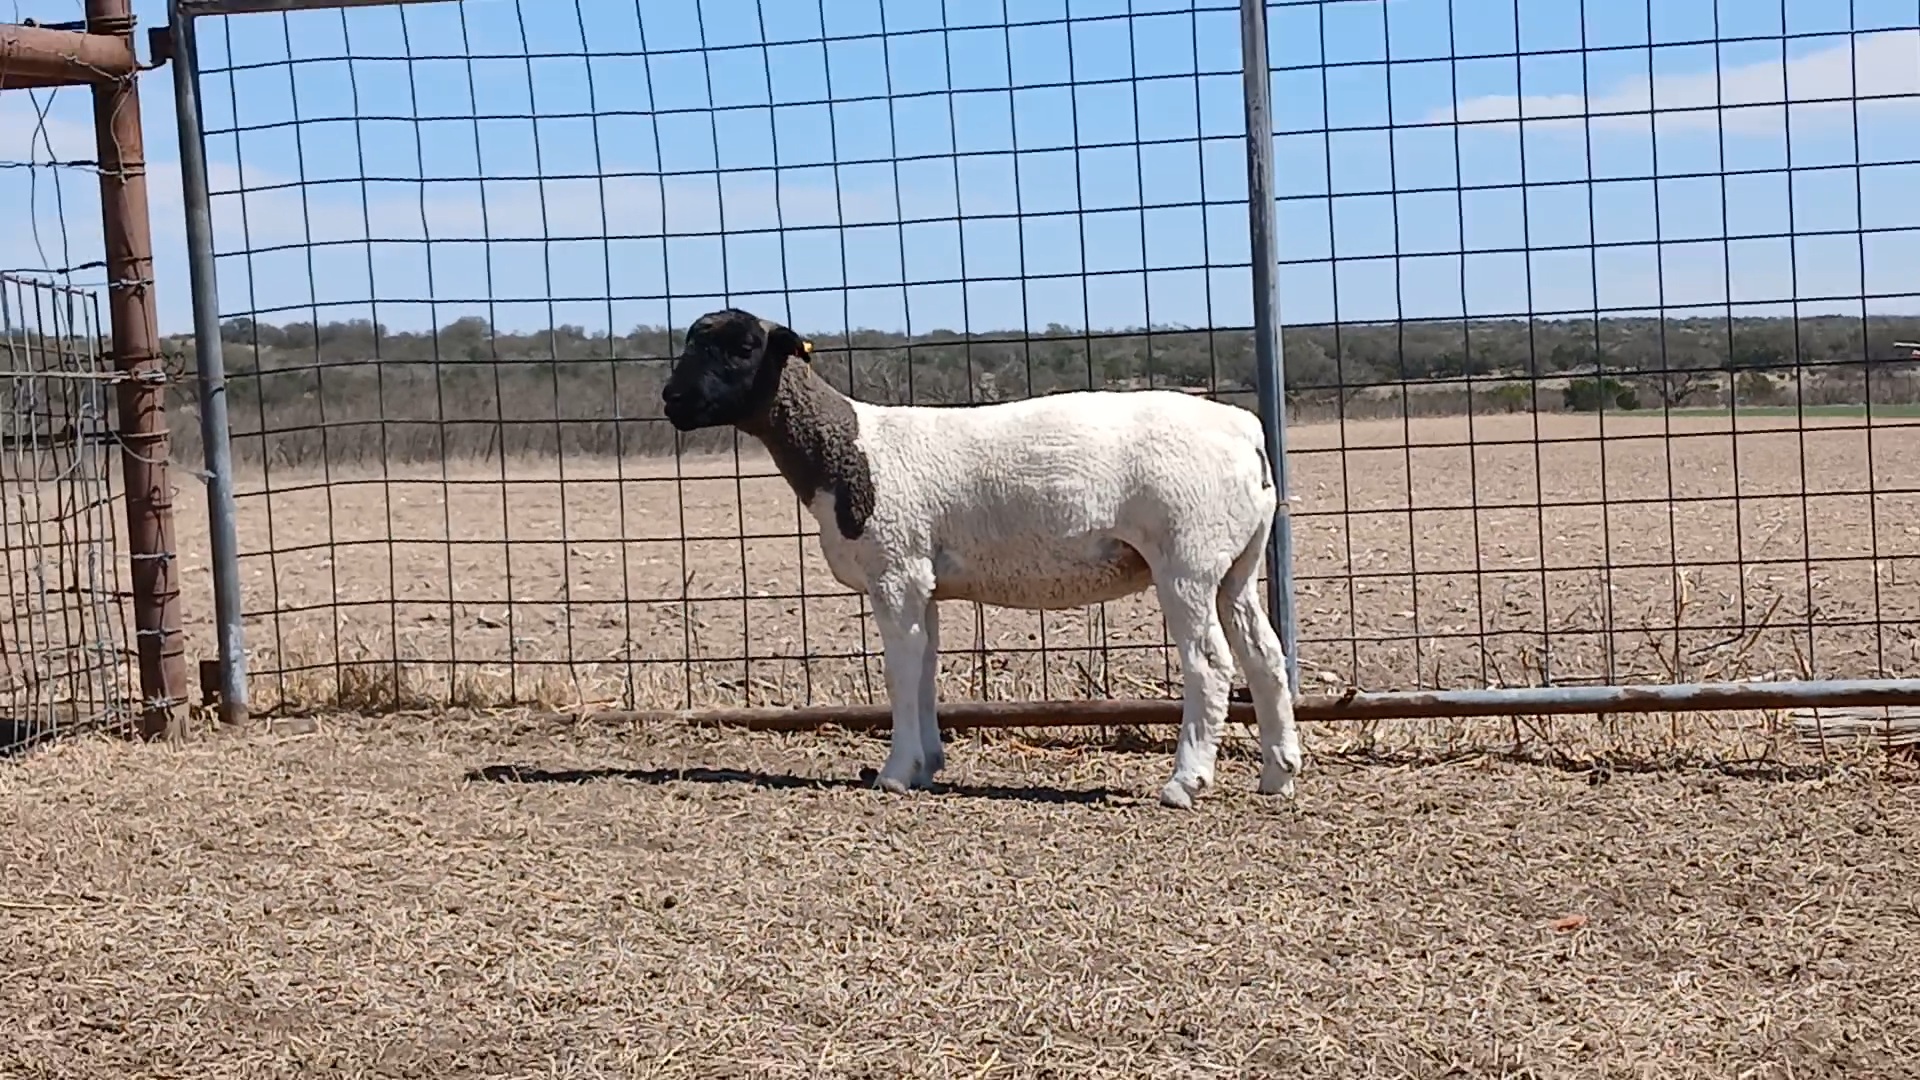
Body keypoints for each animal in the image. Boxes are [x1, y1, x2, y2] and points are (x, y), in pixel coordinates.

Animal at [660, 308, 1302, 808]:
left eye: (744, 347)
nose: (671, 399)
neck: (849, 452)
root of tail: (1246, 433)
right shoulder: (921, 581)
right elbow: (923, 669)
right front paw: (926, 764)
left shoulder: (894, 571)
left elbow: (898, 673)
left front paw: (895, 774)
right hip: (1236, 563)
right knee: (1265, 656)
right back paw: (1278, 773)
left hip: (1186, 558)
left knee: (1210, 664)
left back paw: (1185, 782)